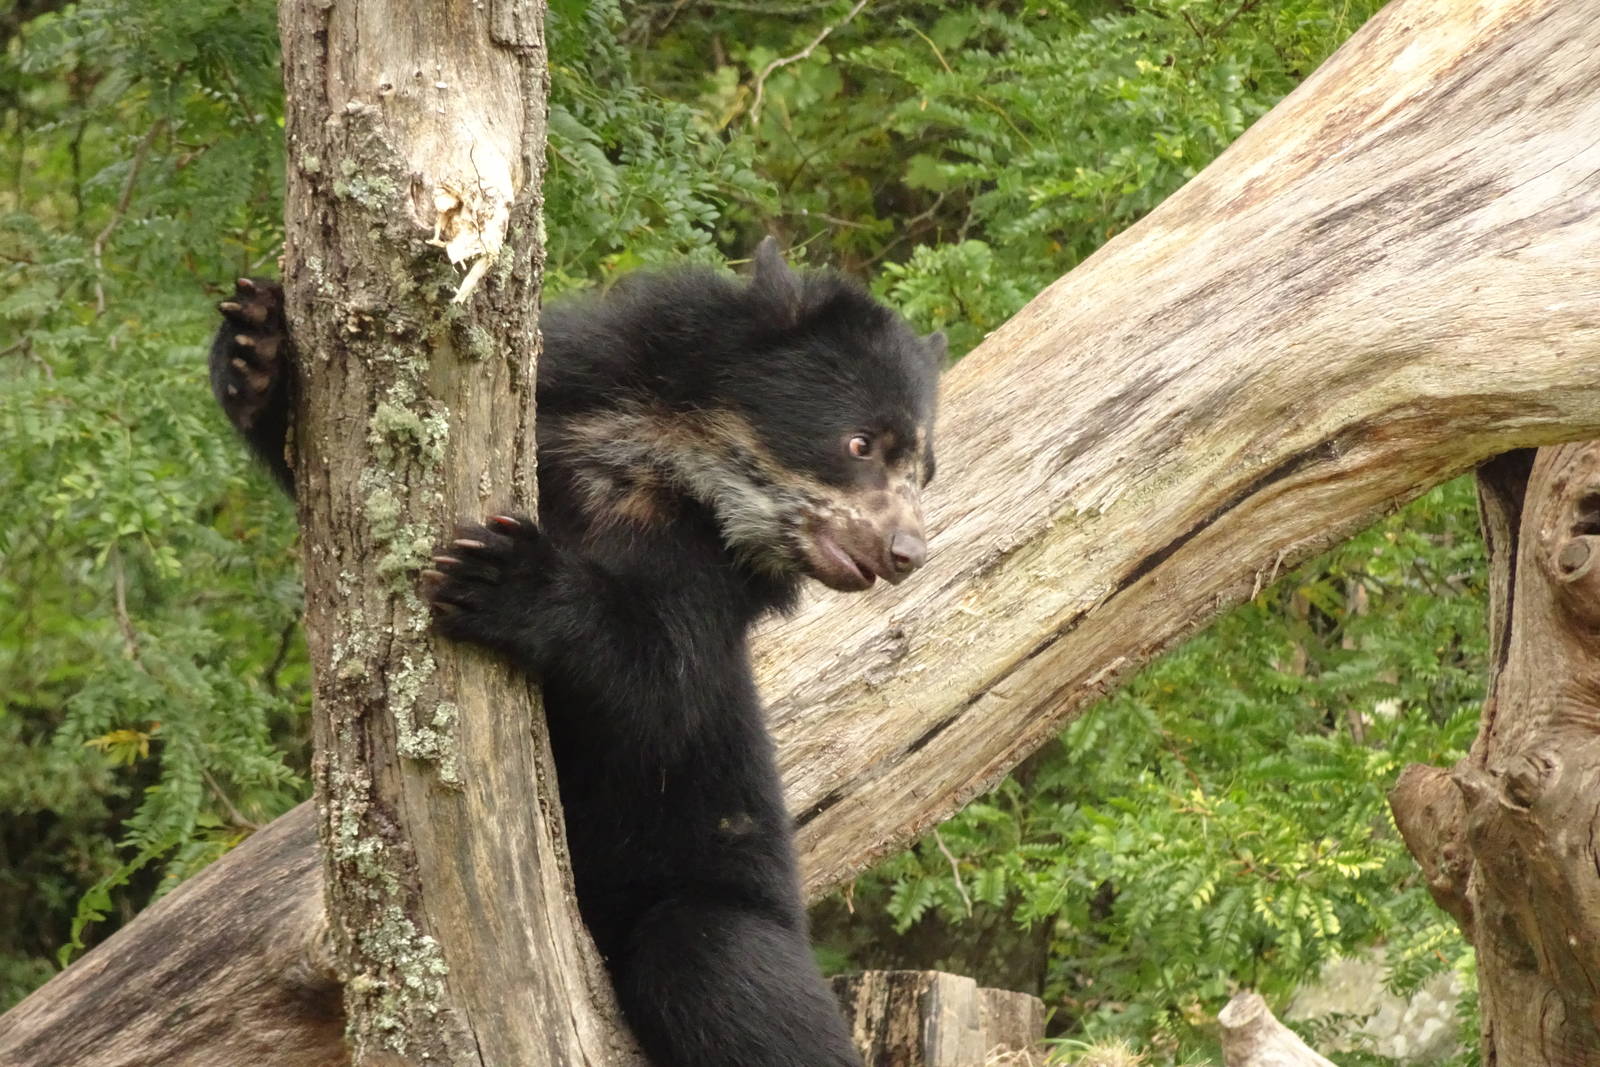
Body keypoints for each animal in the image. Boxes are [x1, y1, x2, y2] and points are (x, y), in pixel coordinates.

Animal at [211, 239, 943, 1067]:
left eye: (924, 471)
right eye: (861, 443)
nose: (906, 552)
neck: (662, 462)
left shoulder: (706, 583)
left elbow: (658, 681)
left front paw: (500, 575)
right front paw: (254, 343)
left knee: (720, 969)